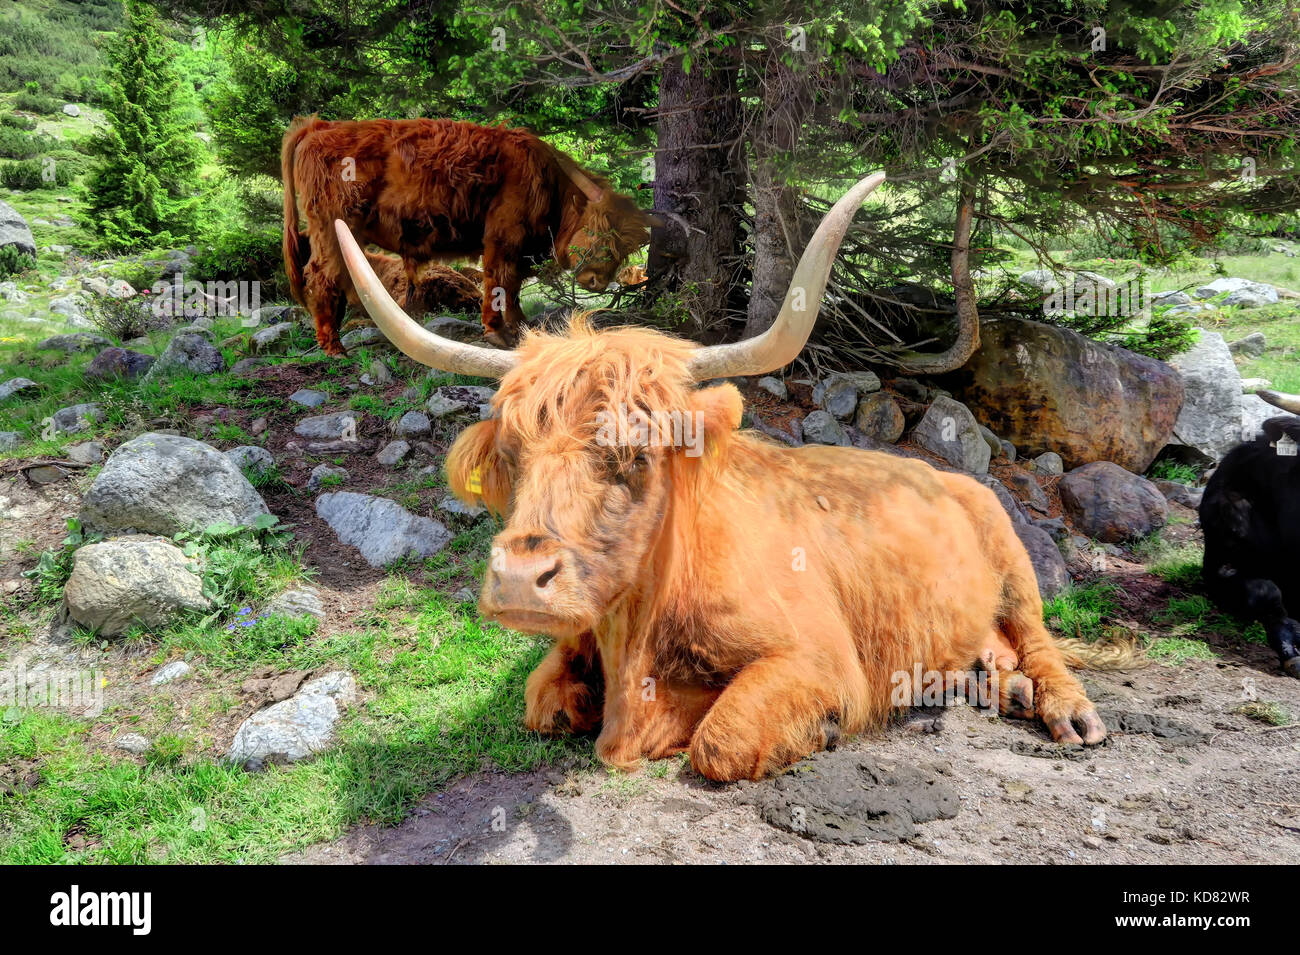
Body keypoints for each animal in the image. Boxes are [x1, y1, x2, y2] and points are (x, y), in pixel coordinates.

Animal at [282, 115, 656, 355]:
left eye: (625, 247)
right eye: (597, 231)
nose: (597, 282)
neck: (548, 182)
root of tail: (319, 126)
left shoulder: (519, 249)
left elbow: (514, 288)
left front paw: (521, 327)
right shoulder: (503, 238)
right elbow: (500, 281)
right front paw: (498, 331)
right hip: (332, 226)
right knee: (322, 276)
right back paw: (333, 346)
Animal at [331, 172, 1107, 781]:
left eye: (637, 454)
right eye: (513, 454)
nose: (522, 579)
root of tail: (943, 473)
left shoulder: (820, 657)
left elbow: (721, 740)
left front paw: (811, 729)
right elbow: (541, 700)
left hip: (1013, 562)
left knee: (1039, 637)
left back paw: (1066, 710)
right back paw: (999, 685)